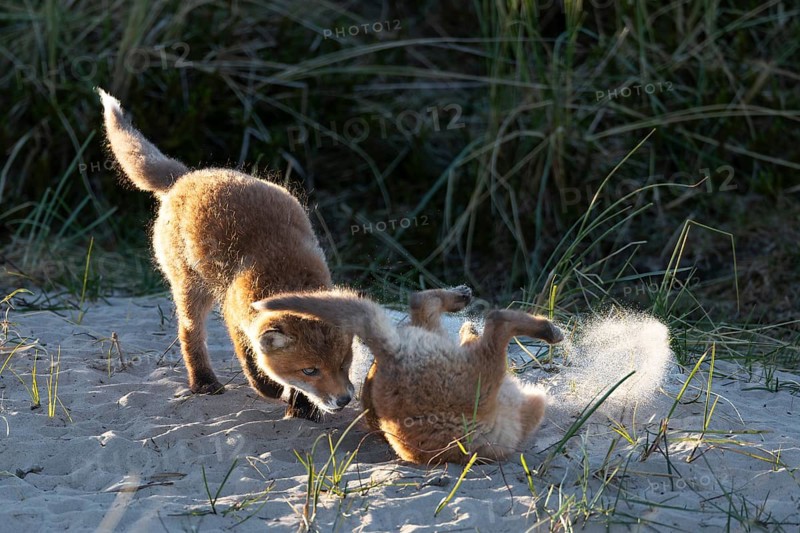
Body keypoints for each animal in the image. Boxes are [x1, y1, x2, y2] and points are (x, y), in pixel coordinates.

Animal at [98, 88, 354, 420]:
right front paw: (269, 388)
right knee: (189, 334)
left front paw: (303, 407)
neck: (288, 275)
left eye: (344, 363)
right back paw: (204, 382)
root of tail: (187, 176)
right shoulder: (235, 315)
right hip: (193, 289)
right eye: (310, 370)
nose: (344, 400)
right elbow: (250, 359)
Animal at [254, 285, 564, 464]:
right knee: (498, 320)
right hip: (485, 379)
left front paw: (467, 326)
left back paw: (459, 296)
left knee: (420, 300)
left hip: (435, 334)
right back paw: (548, 330)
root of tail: (390, 355)